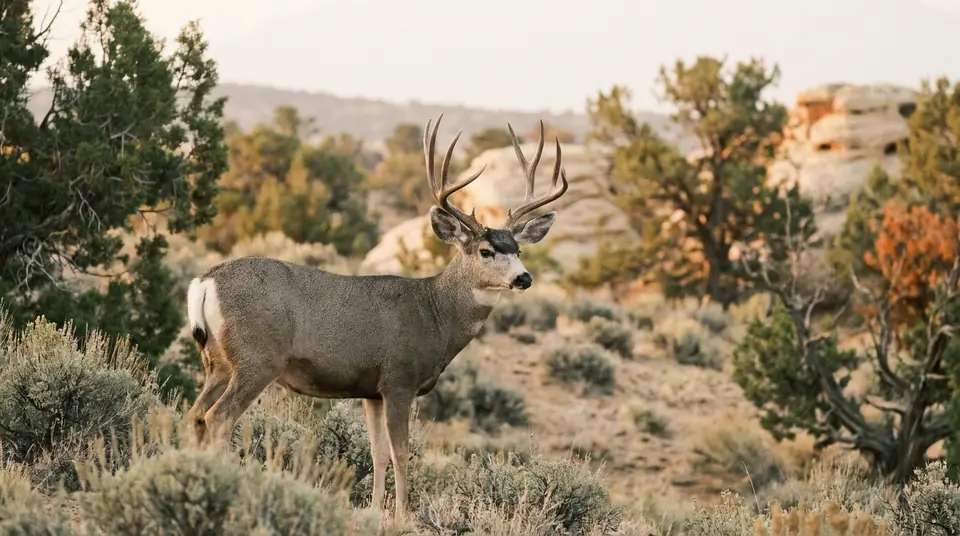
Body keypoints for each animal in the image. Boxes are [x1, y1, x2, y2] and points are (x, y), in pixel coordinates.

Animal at [184, 114, 569, 516]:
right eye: (486, 251)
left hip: (218, 361)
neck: (435, 313)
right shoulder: (399, 379)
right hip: (257, 358)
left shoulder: (370, 390)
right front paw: (403, 513)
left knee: (195, 414)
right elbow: (402, 452)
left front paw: (375, 508)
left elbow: (378, 452)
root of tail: (204, 281)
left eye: (518, 249)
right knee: (218, 417)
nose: (523, 277)